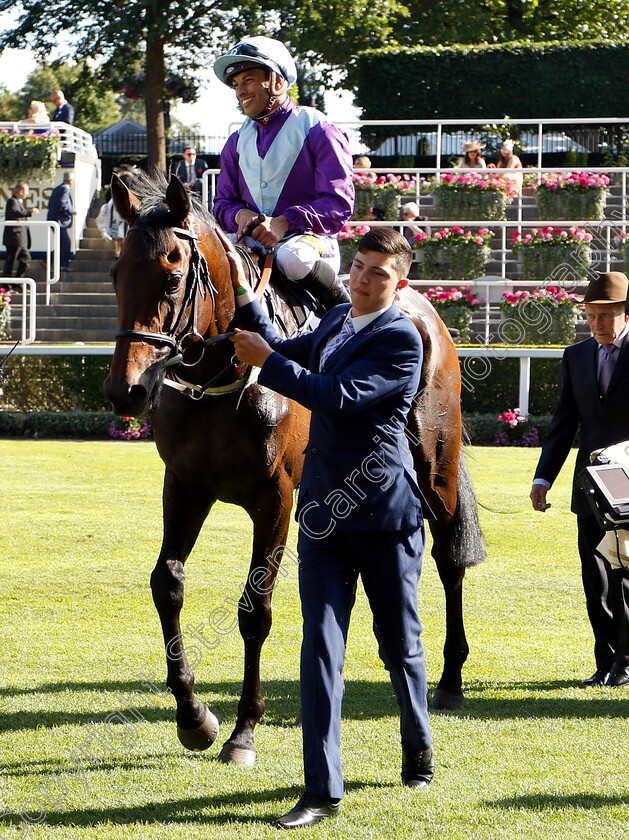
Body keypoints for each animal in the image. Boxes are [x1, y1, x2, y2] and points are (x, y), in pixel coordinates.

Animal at [104, 172, 486, 768]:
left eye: (171, 276)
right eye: (117, 275)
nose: (127, 390)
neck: (224, 379)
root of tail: (419, 304)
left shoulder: (276, 499)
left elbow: (253, 609)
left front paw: (242, 730)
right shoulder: (185, 487)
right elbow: (167, 585)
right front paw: (194, 717)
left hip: (435, 468)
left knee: (448, 556)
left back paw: (448, 679)